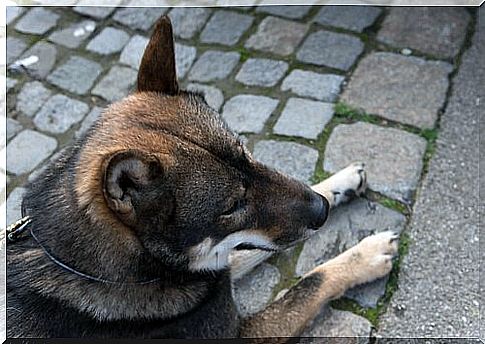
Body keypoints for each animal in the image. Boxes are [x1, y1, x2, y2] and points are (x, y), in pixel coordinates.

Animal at [6, 15, 398, 338]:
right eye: (232, 206)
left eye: (247, 154)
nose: (322, 212)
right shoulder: (238, 325)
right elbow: (308, 284)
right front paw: (367, 255)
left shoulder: (213, 272)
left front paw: (340, 183)